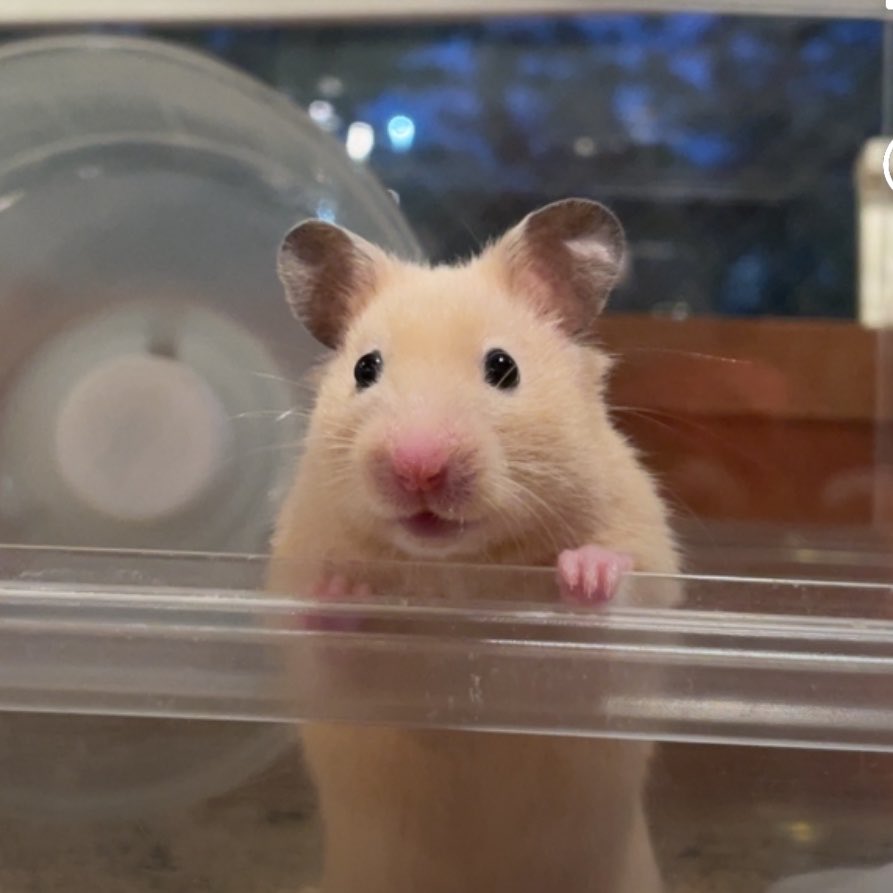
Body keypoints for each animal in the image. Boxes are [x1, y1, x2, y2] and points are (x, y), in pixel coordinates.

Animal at [269, 198, 681, 893]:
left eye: (502, 368)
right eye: (365, 368)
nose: (418, 468)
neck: (456, 570)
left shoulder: (641, 596)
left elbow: (610, 608)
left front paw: (585, 573)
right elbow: (334, 646)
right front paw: (341, 590)